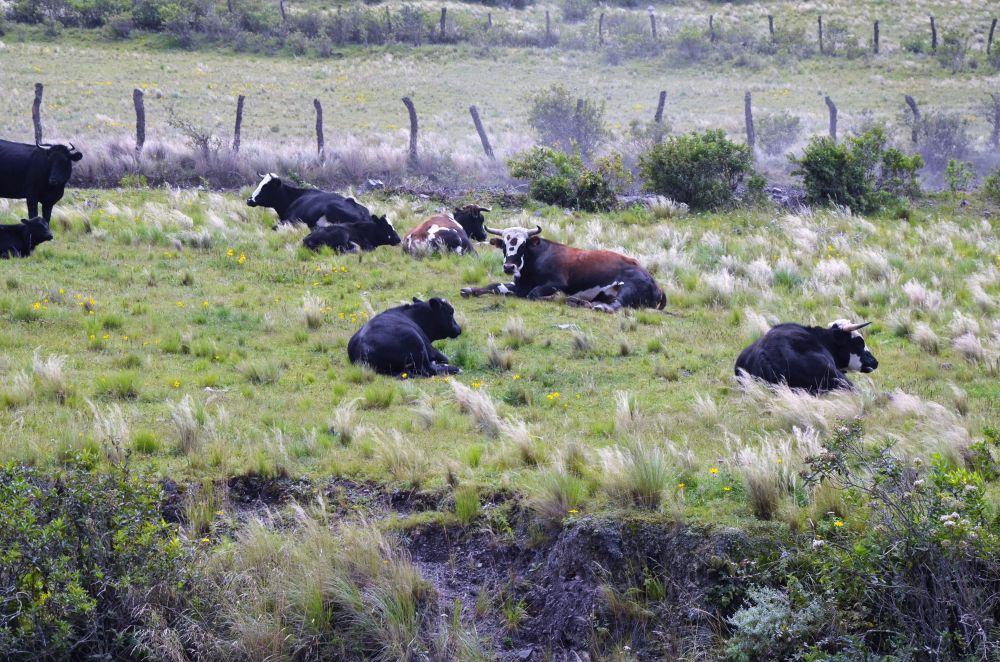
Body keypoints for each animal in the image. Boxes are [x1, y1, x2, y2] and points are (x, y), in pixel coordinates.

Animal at [459, 225, 667, 312]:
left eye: (523, 245)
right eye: (504, 244)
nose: (509, 266)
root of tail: (654, 282)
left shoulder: (556, 283)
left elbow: (534, 294)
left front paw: (555, 297)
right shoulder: (517, 285)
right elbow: (495, 285)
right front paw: (469, 290)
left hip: (628, 287)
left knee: (617, 305)